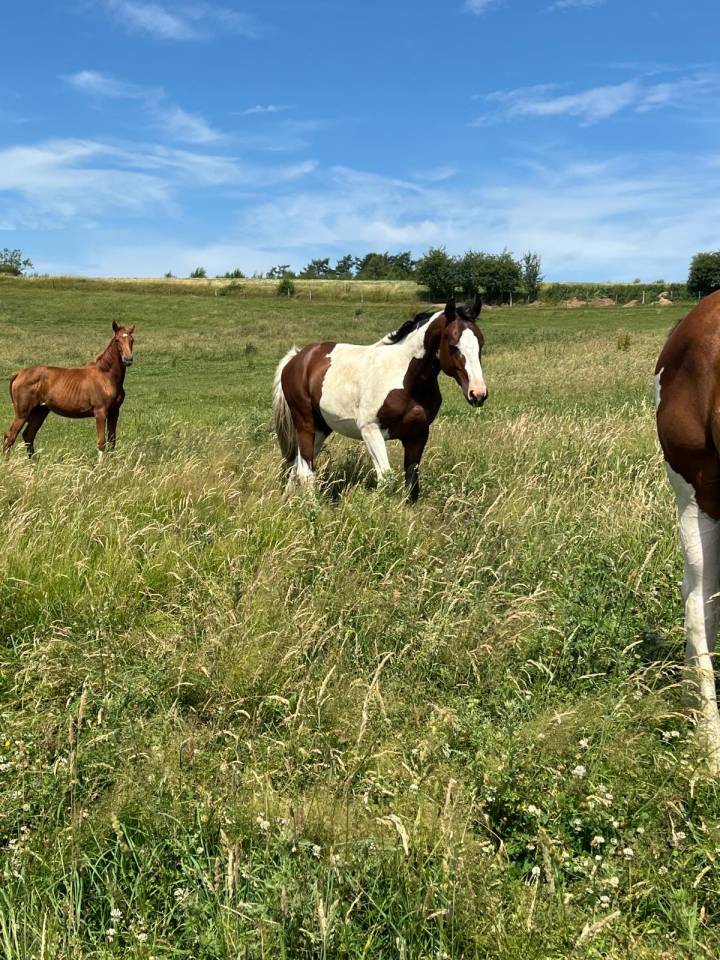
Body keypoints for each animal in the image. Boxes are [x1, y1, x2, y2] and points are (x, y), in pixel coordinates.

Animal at [3, 322, 135, 460]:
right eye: (117, 340)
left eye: (132, 340)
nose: (128, 359)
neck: (106, 376)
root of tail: (18, 374)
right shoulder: (100, 412)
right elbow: (102, 443)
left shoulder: (114, 412)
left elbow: (112, 441)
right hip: (22, 413)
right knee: (10, 436)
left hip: (39, 412)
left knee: (28, 435)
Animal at [272, 295, 487, 501]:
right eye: (453, 345)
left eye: (481, 344)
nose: (478, 393)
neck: (406, 378)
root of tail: (297, 358)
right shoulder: (370, 430)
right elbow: (386, 478)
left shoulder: (418, 434)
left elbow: (412, 482)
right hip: (305, 423)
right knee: (305, 471)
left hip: (321, 428)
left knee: (296, 466)